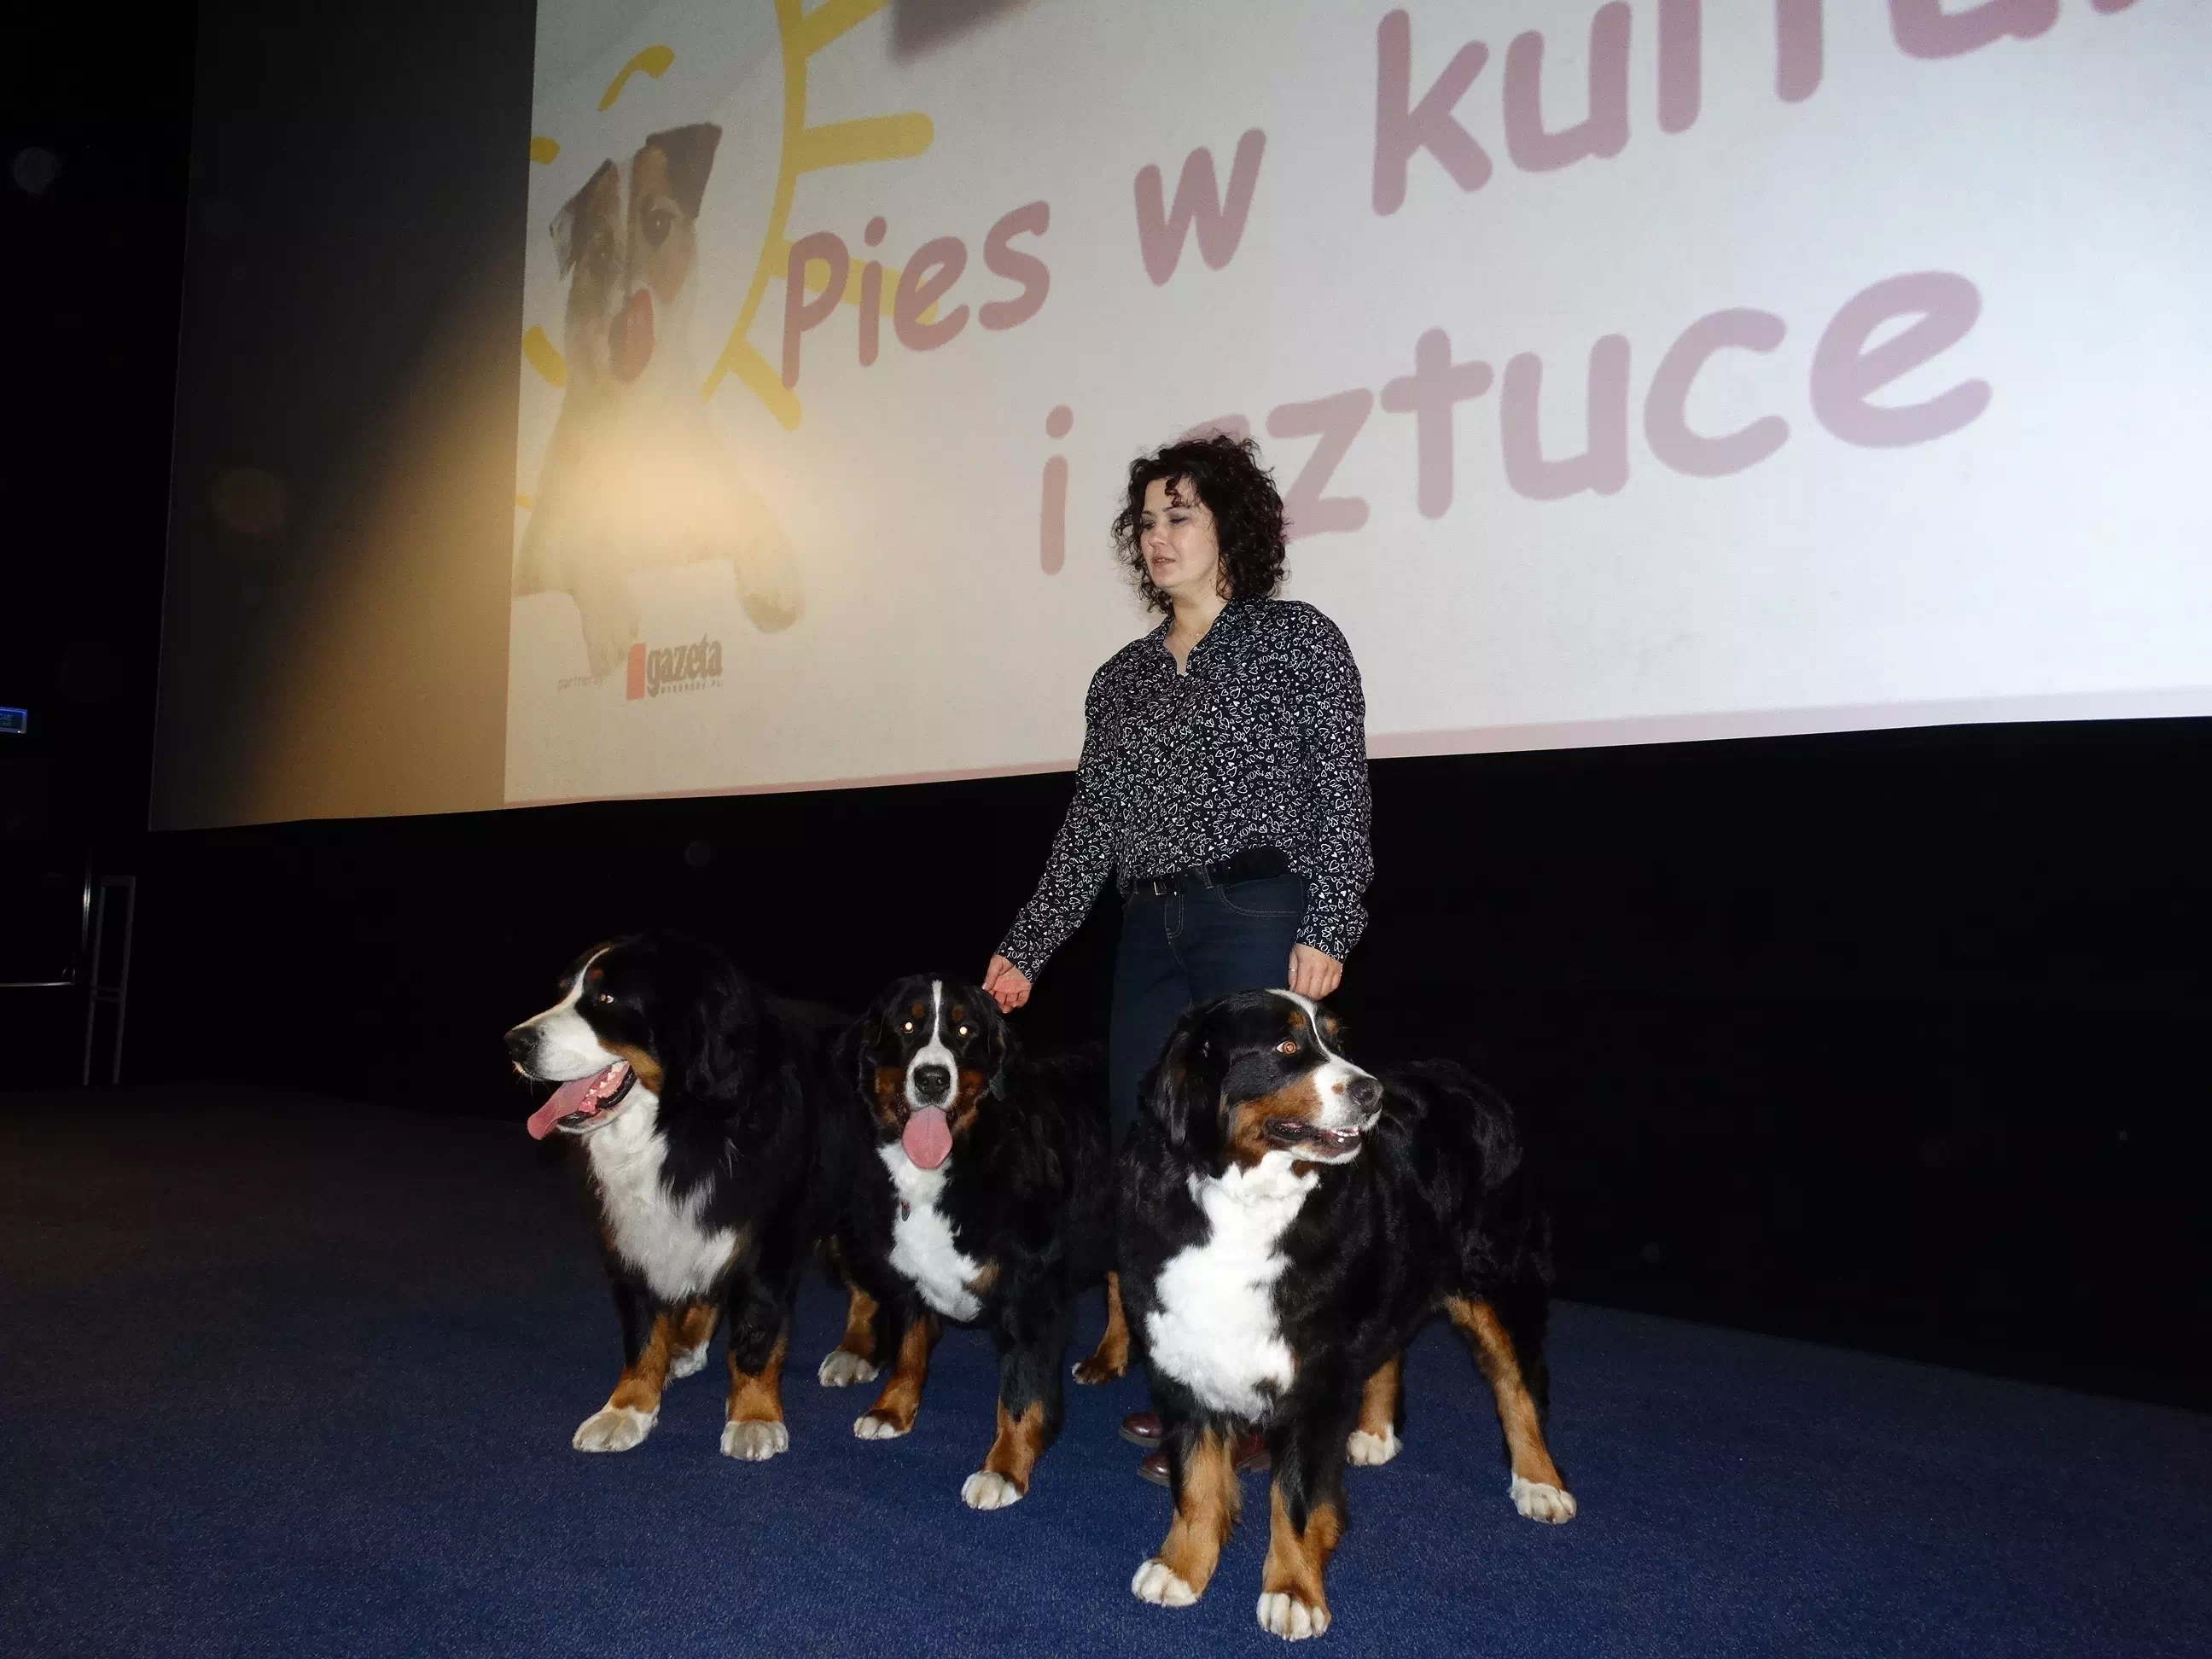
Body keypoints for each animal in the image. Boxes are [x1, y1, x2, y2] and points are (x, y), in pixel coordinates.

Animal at [503, 931, 864, 1461]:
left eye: (606, 999)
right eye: (564, 992)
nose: (514, 1042)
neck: (678, 1126)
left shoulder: (765, 1241)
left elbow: (756, 1328)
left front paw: (754, 1416)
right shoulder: (633, 1236)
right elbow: (642, 1333)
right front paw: (627, 1408)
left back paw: (855, 1354)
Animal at [513, 122, 802, 682]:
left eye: (658, 222)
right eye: (600, 252)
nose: (626, 331)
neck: (638, 409)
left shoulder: (696, 530)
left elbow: (749, 506)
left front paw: (776, 570)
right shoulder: (546, 560)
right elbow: (589, 548)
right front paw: (609, 619)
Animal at [820, 974, 1130, 1510]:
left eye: (964, 1031)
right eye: (906, 1026)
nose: (932, 1079)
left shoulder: (1030, 1296)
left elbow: (1020, 1395)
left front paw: (1003, 1468)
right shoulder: (909, 1275)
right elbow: (909, 1348)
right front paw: (892, 1410)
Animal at [1117, 989, 1574, 1640]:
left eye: (1337, 1042)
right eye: (1286, 1047)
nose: (1372, 1093)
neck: (1243, 1207)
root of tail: (1467, 1077)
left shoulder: (1316, 1375)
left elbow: (1296, 1500)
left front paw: (1292, 1591)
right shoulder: (1182, 1358)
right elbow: (1197, 1482)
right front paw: (1181, 1568)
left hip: (1501, 1278)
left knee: (1518, 1385)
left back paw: (1539, 1482)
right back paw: (1375, 1432)